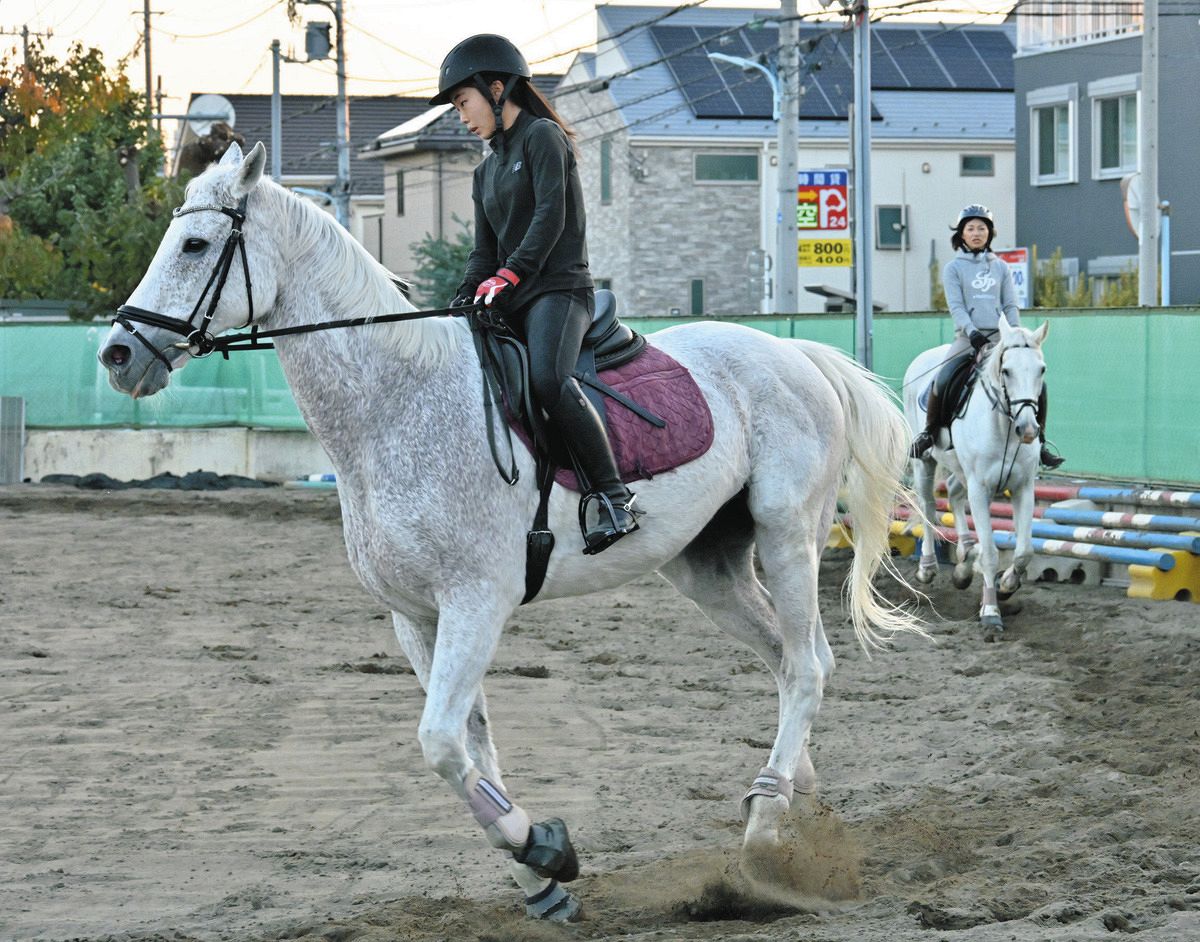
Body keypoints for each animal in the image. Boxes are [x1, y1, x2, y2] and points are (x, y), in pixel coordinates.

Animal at [99, 142, 926, 922]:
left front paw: (542, 847)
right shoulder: (416, 616)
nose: (118, 354)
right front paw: (542, 878)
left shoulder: (475, 602)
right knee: (790, 663)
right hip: (706, 568)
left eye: (196, 245)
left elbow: (439, 742)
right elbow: (470, 746)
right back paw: (791, 808)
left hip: (787, 536)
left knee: (807, 666)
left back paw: (761, 836)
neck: (396, 405)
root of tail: (798, 354)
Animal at [903, 319, 1050, 641]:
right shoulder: (980, 489)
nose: (1028, 429)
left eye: (1041, 370)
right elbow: (992, 554)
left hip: (961, 471)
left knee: (954, 494)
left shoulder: (1023, 487)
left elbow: (1024, 552)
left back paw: (964, 559)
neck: (1004, 426)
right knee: (928, 506)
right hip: (925, 462)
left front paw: (1007, 586)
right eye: (1006, 371)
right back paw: (928, 567)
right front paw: (991, 614)